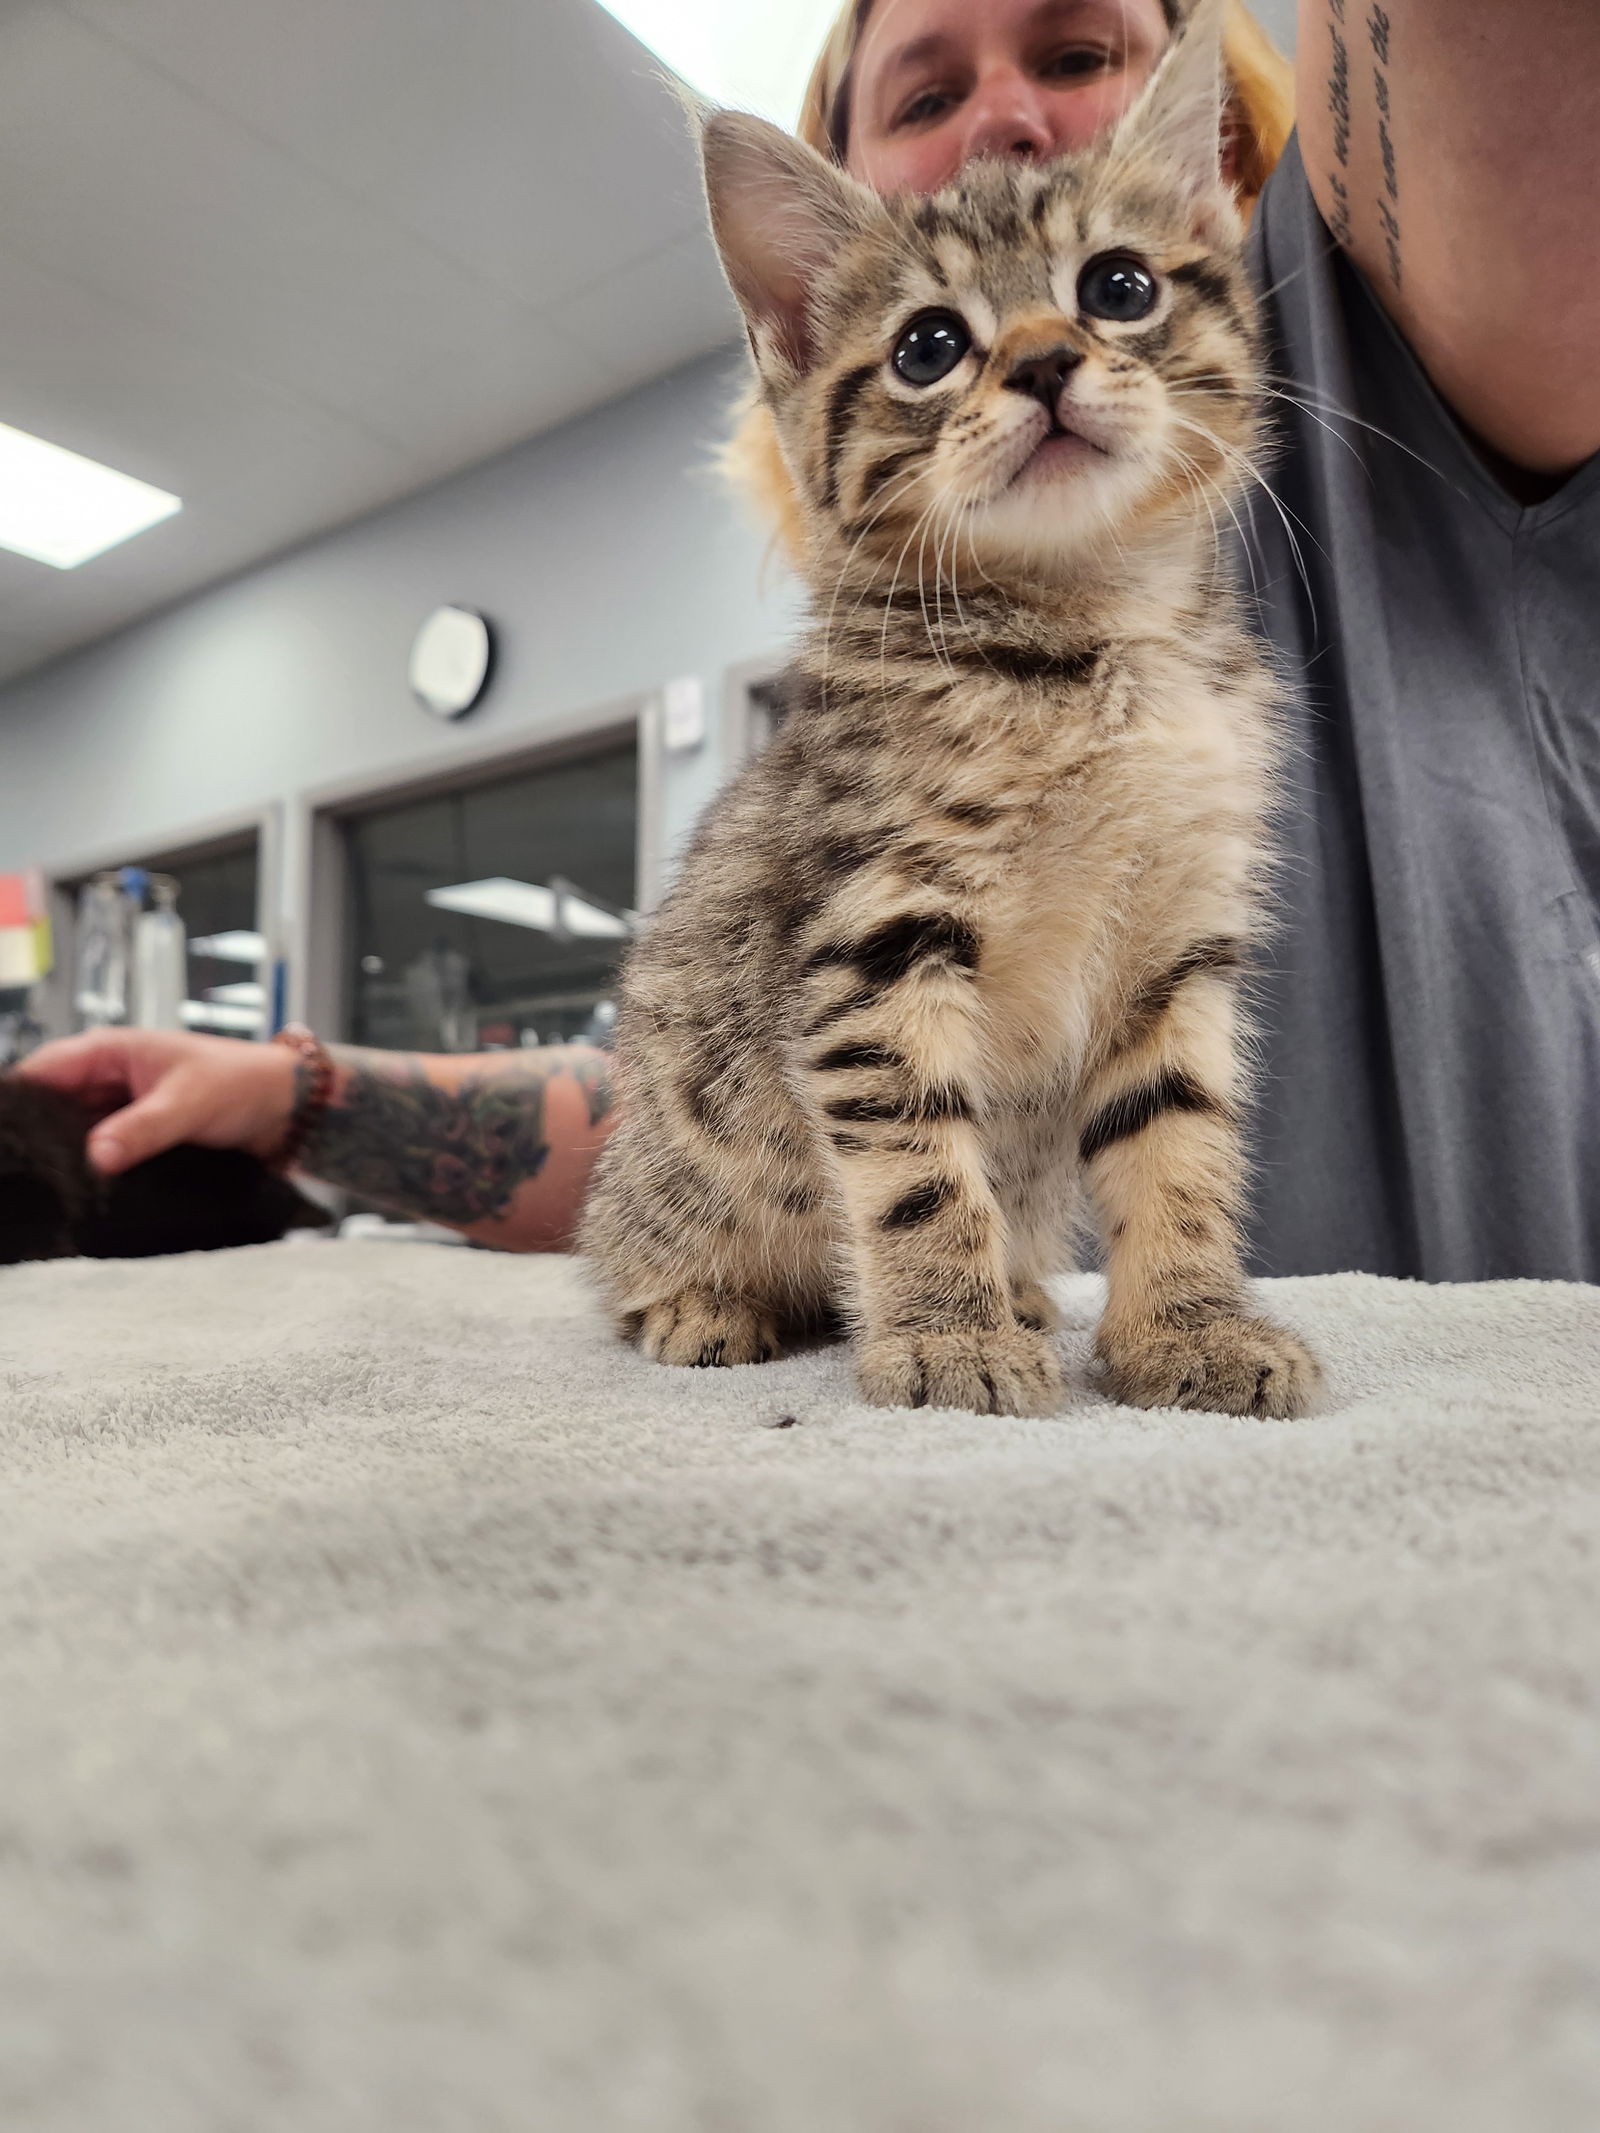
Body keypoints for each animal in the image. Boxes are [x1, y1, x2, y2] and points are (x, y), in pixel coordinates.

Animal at [584, 8, 1322, 1424]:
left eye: (1119, 288)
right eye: (927, 346)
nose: (1041, 360)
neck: (1085, 649)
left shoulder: (1177, 943)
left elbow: (1179, 1143)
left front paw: (1189, 1328)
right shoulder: (871, 936)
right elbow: (919, 1162)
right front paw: (947, 1337)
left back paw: (1028, 1290)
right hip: (664, 1150)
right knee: (631, 1257)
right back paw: (705, 1304)